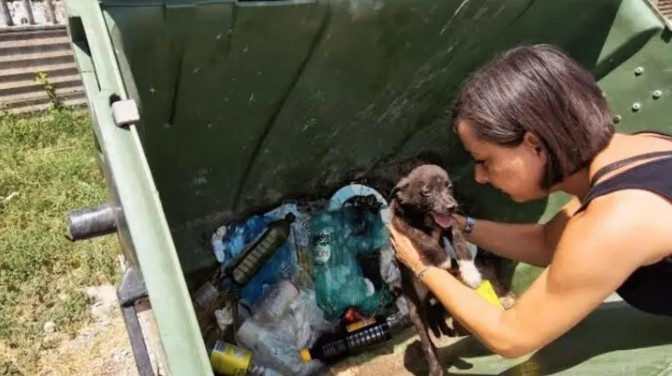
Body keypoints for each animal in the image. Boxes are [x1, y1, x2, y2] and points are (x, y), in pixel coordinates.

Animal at [392, 164, 480, 376]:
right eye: (426, 192)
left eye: (449, 187)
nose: (452, 206)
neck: (425, 219)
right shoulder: (401, 224)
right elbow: (423, 237)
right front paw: (442, 258)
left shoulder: (451, 222)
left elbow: (458, 238)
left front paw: (469, 271)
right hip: (415, 311)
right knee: (427, 344)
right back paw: (435, 367)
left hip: (444, 299)